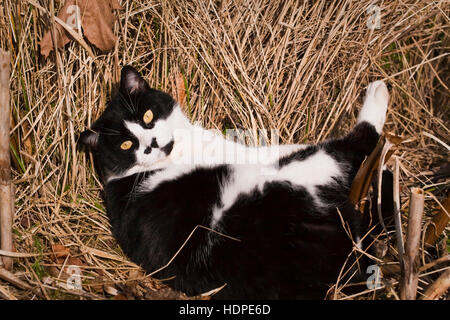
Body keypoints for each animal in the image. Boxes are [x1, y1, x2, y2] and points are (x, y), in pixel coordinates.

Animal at [81, 65, 390, 300]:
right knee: (352, 146)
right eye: (125, 145)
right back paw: (377, 99)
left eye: (147, 116)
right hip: (305, 173)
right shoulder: (258, 158)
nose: (151, 143)